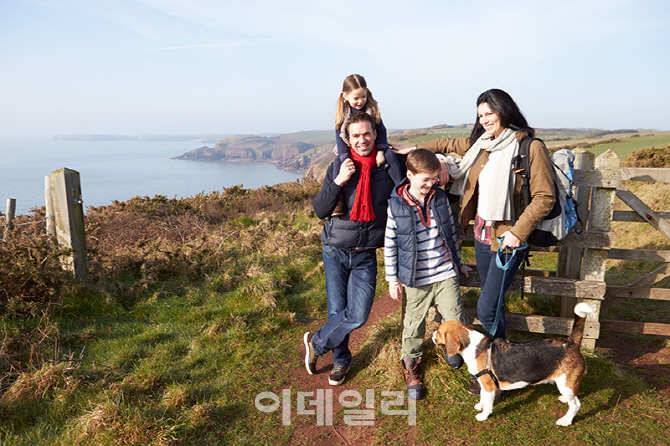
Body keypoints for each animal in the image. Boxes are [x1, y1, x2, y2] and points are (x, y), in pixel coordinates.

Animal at [436, 304, 592, 426]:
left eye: (438, 331)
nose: (432, 335)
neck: (475, 347)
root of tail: (571, 342)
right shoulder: (483, 384)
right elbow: (482, 397)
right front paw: (480, 406)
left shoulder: (489, 387)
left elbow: (488, 403)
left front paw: (483, 415)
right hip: (565, 384)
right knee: (572, 398)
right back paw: (564, 399)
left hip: (566, 384)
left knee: (576, 404)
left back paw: (566, 420)